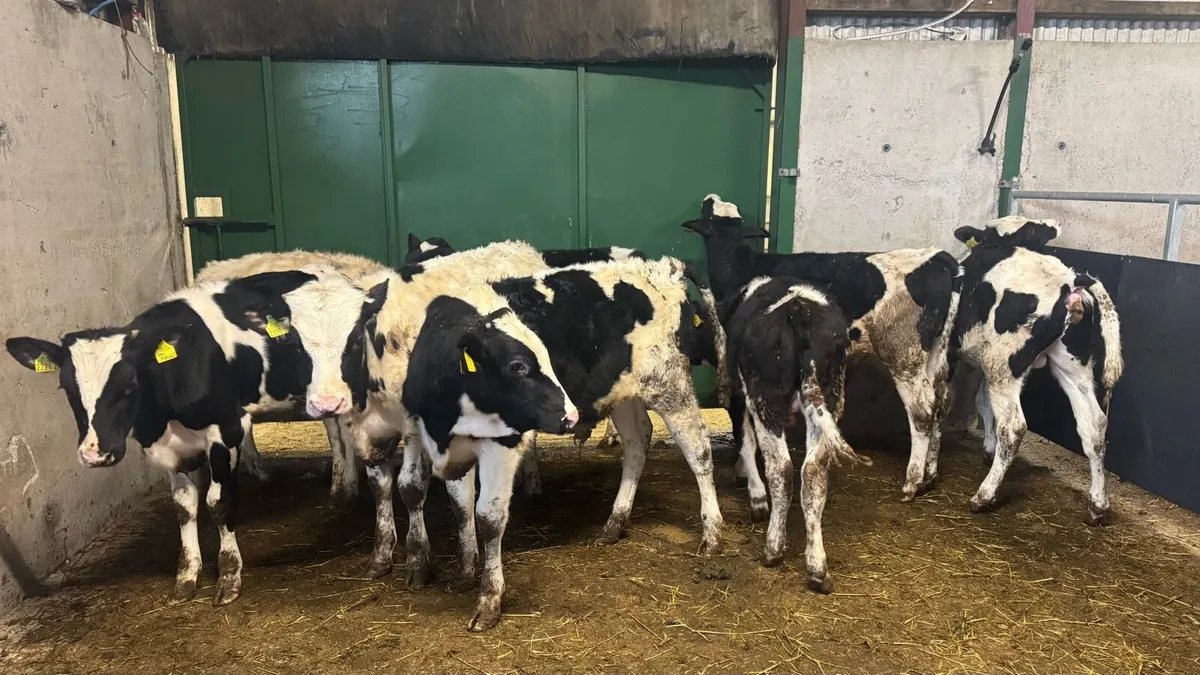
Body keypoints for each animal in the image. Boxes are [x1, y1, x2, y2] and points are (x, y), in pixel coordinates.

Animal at [682, 195, 962, 510]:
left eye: (708, 214)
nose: (710, 197)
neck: (740, 263)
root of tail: (938, 258)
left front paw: (744, 472)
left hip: (903, 353)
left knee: (922, 411)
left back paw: (912, 482)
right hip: (936, 352)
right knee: (940, 403)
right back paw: (929, 476)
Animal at [725, 276, 871, 593]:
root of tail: (798, 310)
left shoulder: (738, 397)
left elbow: (745, 441)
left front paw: (756, 497)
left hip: (765, 399)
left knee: (781, 469)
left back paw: (773, 549)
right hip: (829, 397)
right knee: (813, 473)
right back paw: (817, 569)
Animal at [949, 216, 1123, 525]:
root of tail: (1071, 280)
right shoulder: (983, 362)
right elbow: (982, 402)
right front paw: (988, 447)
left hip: (1004, 363)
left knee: (1013, 426)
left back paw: (984, 496)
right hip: (1071, 365)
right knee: (1095, 424)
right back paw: (1098, 504)